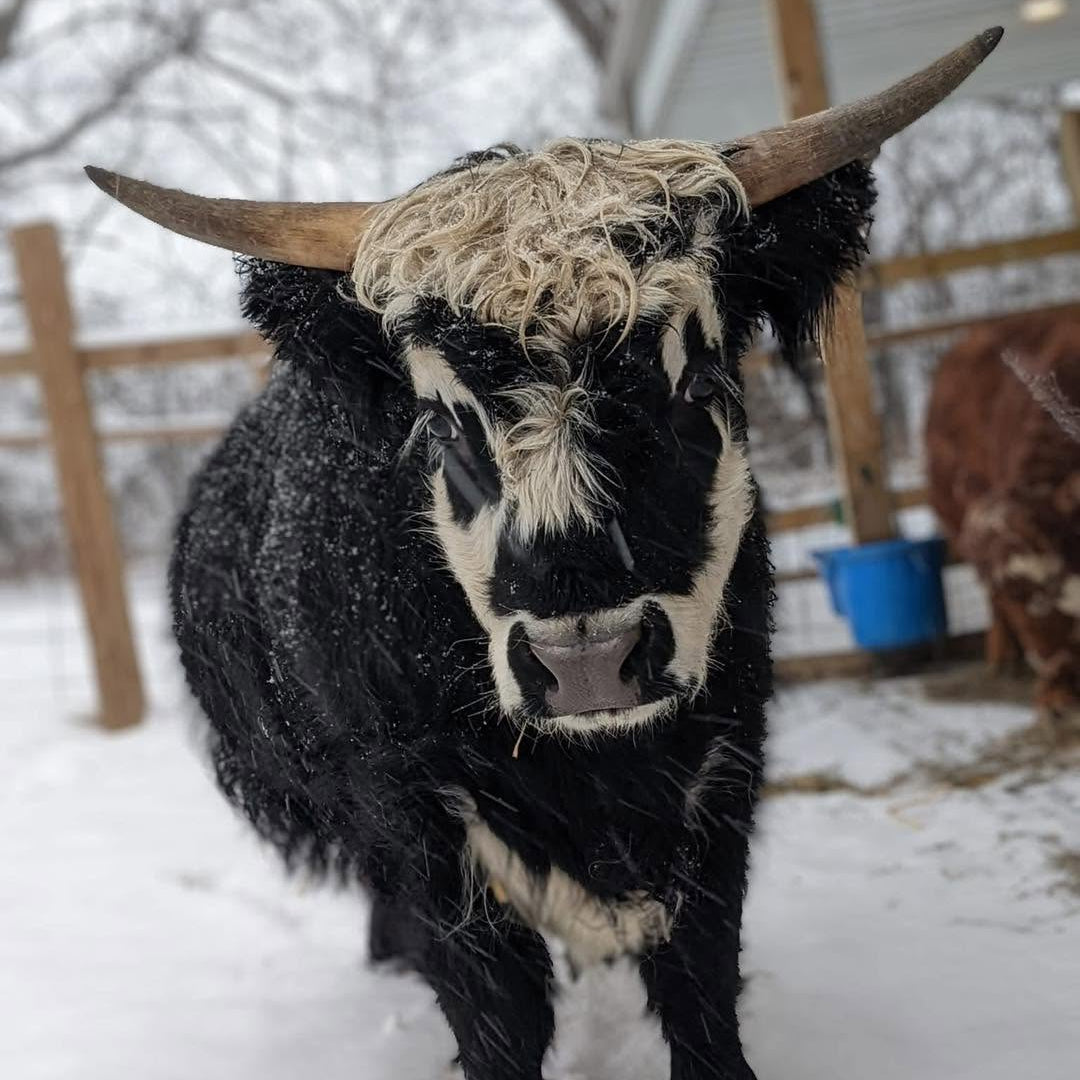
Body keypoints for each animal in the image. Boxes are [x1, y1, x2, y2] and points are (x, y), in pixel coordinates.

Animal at [89, 30, 1001, 1080]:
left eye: (698, 384)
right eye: (443, 421)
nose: (589, 660)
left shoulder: (722, 762)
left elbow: (699, 980)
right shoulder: (416, 814)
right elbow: (497, 1007)